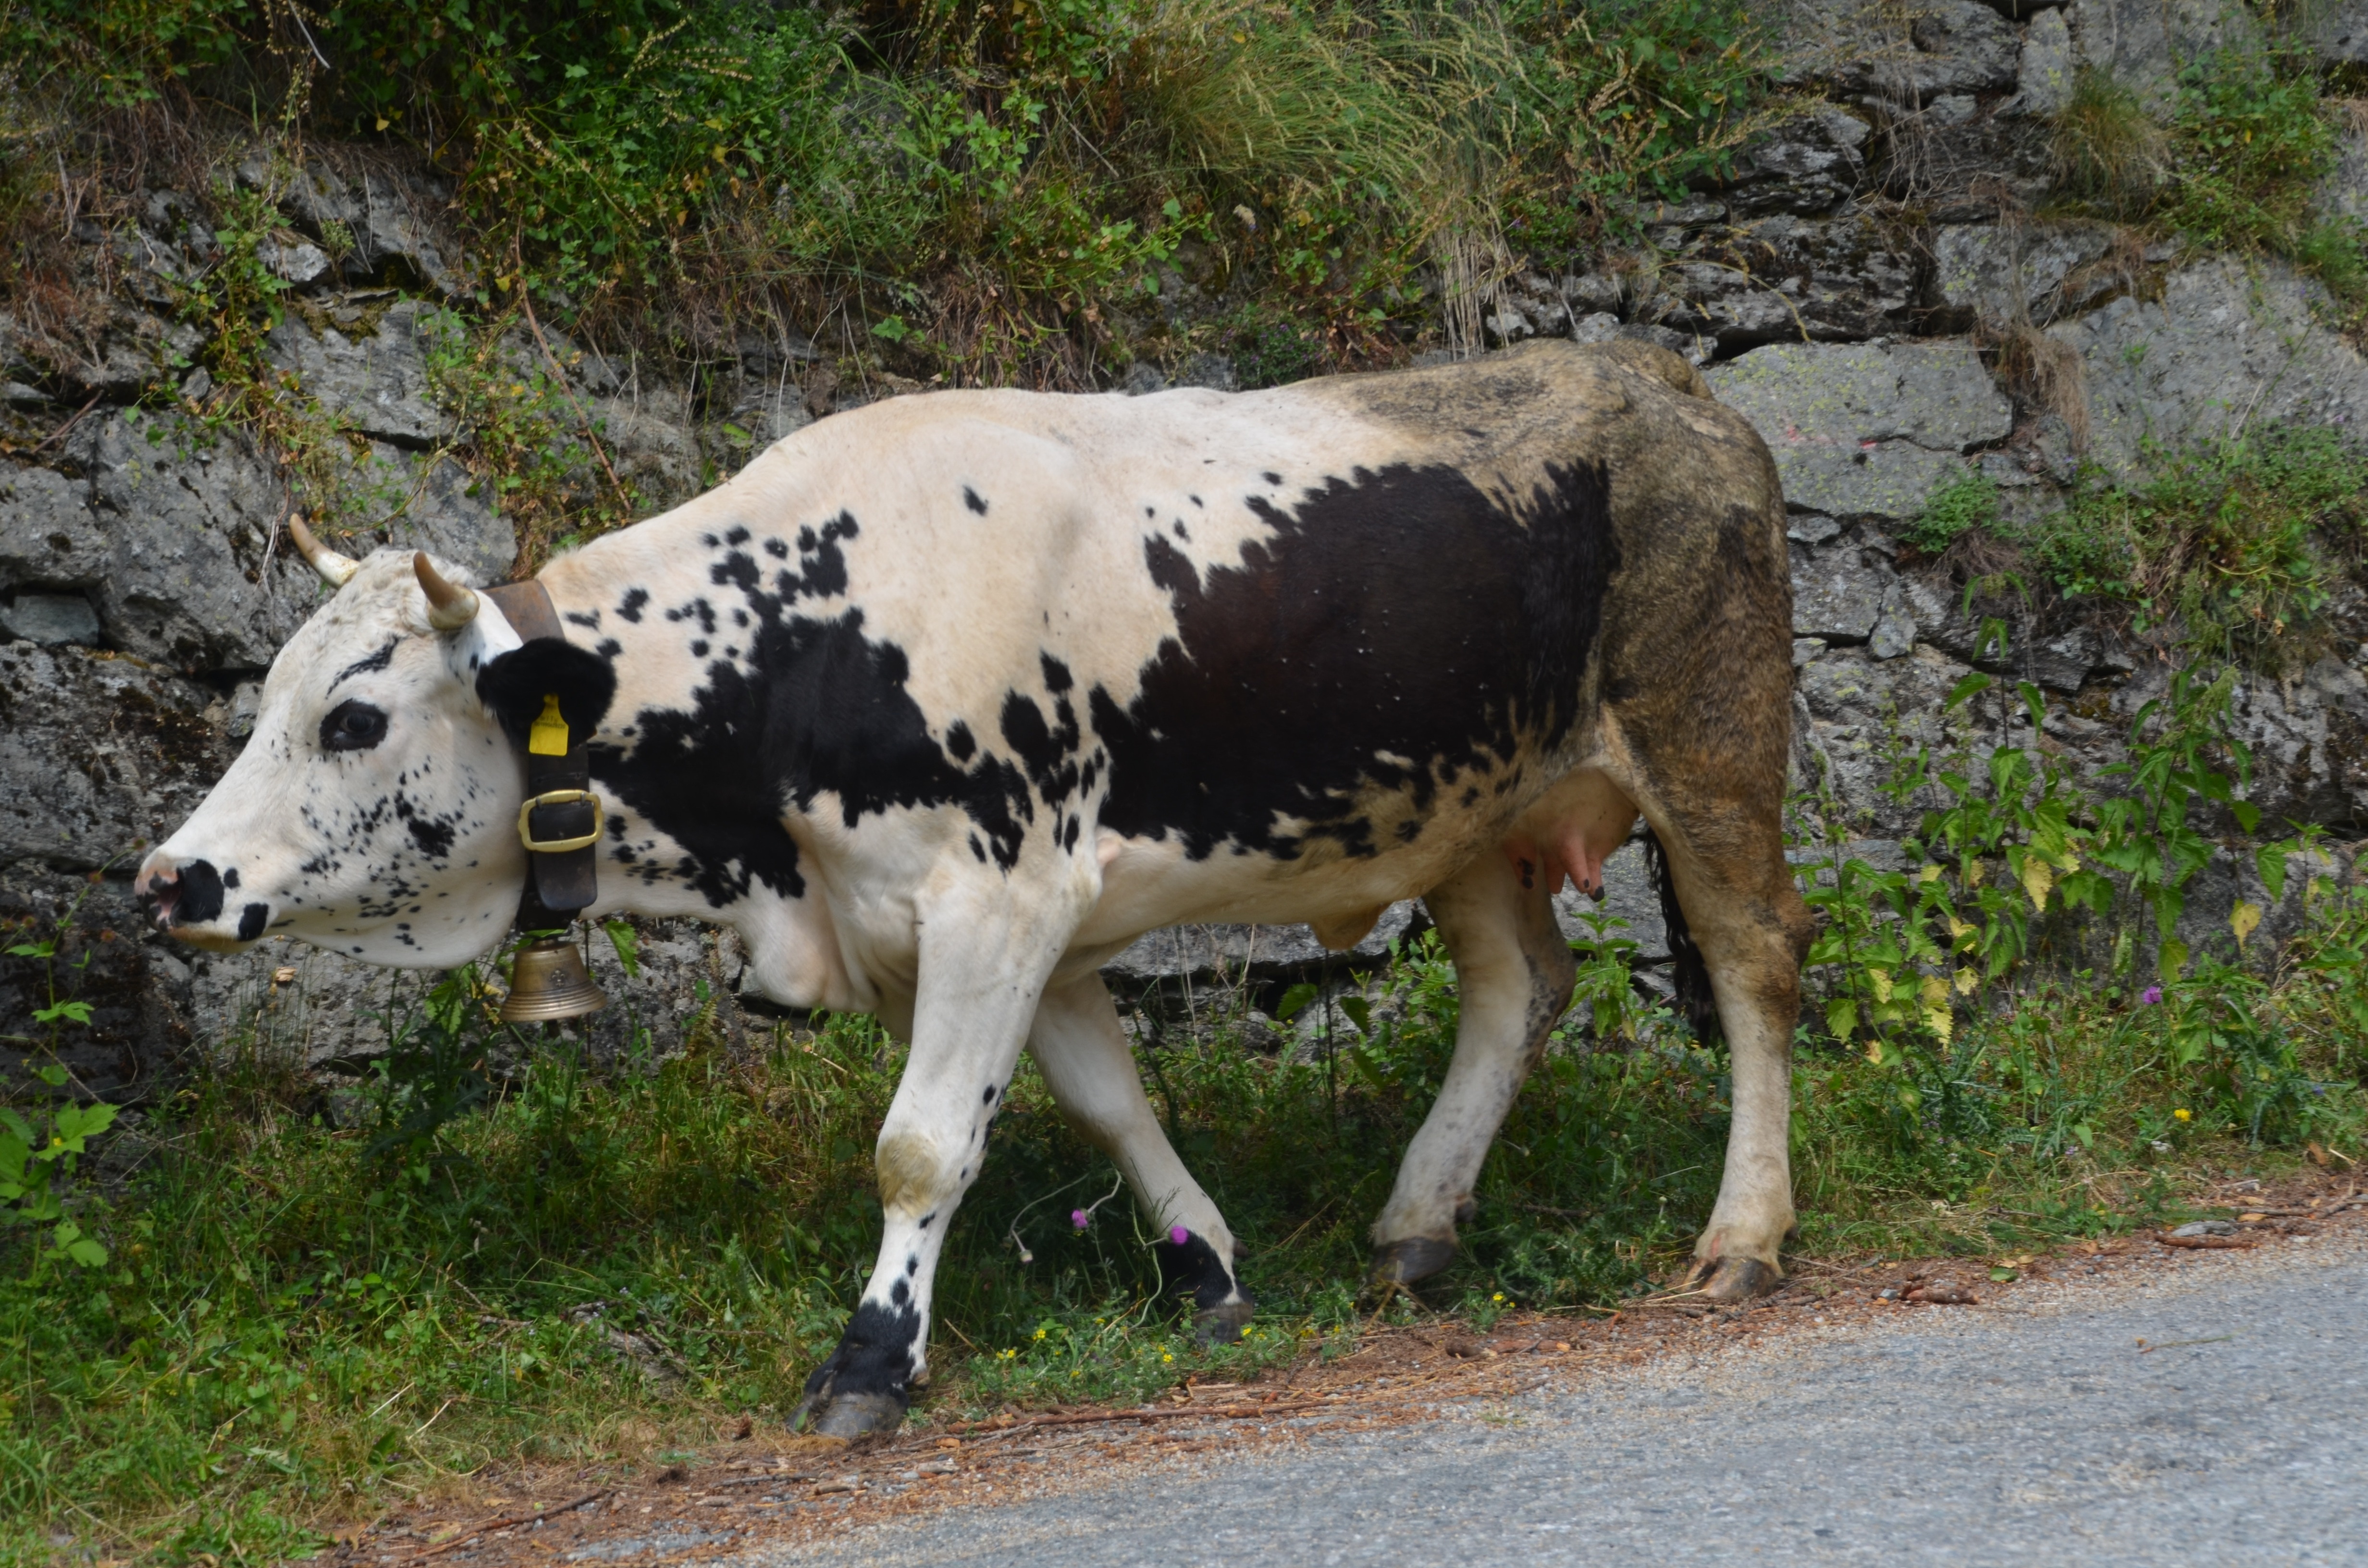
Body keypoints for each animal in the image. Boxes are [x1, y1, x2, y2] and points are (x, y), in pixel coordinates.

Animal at [138, 341, 1800, 1440]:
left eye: (353, 717)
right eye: (271, 693)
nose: (171, 877)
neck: (803, 636)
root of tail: (1667, 380)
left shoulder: (995, 895)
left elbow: (921, 1148)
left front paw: (871, 1362)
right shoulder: (987, 925)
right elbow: (1106, 1101)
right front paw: (1205, 1271)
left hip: (1709, 740)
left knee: (1756, 963)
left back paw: (1741, 1238)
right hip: (1469, 810)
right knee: (1521, 986)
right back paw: (1418, 1220)